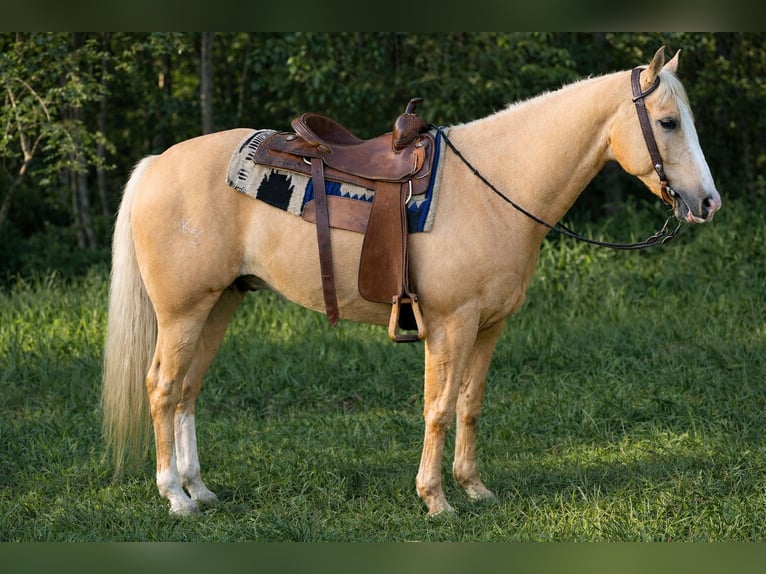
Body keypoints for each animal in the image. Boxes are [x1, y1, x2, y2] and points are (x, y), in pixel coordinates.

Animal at [102, 46, 720, 516]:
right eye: (668, 122)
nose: (708, 202)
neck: (496, 187)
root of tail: (156, 164)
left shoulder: (489, 326)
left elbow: (470, 404)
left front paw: (475, 488)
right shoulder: (451, 324)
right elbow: (438, 408)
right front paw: (436, 500)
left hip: (219, 306)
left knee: (187, 390)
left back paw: (200, 490)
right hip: (182, 312)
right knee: (161, 387)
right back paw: (175, 498)